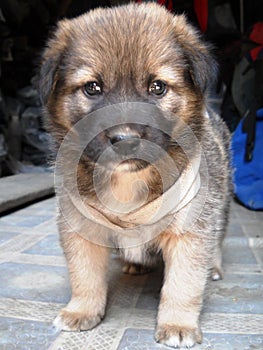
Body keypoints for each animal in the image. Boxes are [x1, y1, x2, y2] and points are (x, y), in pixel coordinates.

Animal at [39, 3, 231, 348]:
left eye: (157, 87)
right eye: (92, 87)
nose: (125, 139)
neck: (128, 181)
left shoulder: (191, 227)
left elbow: (183, 283)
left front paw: (177, 324)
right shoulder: (79, 224)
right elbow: (84, 274)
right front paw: (81, 310)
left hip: (221, 201)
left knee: (219, 236)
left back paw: (214, 267)